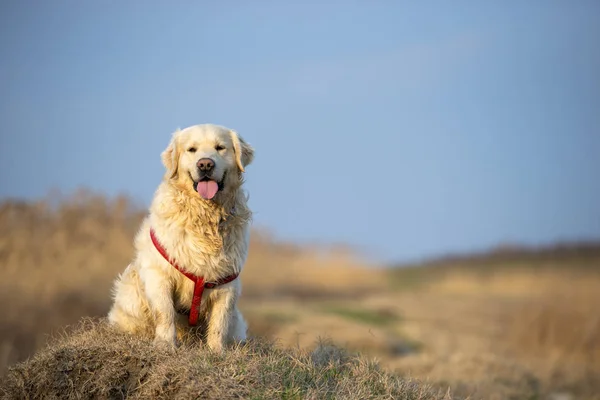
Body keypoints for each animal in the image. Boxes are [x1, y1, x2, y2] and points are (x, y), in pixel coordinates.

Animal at [109, 123, 254, 352]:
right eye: (191, 149)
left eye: (220, 147)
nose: (205, 164)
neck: (205, 216)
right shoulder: (159, 274)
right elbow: (165, 312)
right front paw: (165, 344)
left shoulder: (227, 282)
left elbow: (219, 321)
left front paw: (216, 351)